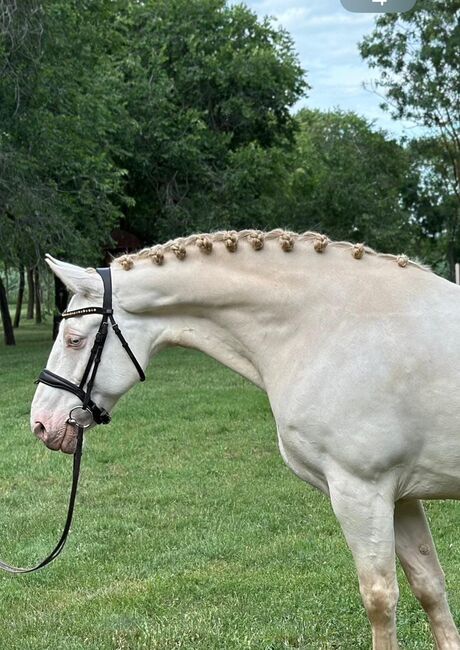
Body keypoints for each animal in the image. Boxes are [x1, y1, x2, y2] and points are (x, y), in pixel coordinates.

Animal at [30, 229, 458, 648]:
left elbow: (380, 600)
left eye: (73, 339)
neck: (331, 327)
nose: (41, 423)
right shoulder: (400, 497)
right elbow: (430, 586)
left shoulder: (361, 492)